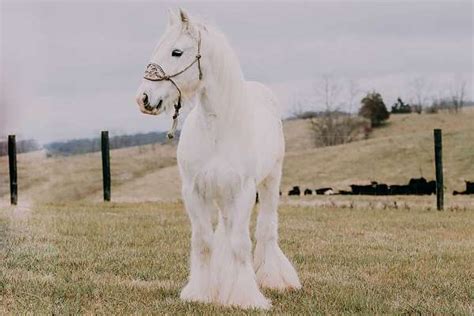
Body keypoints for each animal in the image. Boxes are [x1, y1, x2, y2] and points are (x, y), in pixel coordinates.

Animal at [135, 8, 302, 310]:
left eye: (177, 52)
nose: (143, 98)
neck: (217, 128)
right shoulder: (194, 192)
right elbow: (204, 242)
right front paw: (201, 293)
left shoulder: (244, 192)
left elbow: (240, 244)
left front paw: (245, 297)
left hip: (270, 182)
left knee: (266, 229)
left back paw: (274, 279)